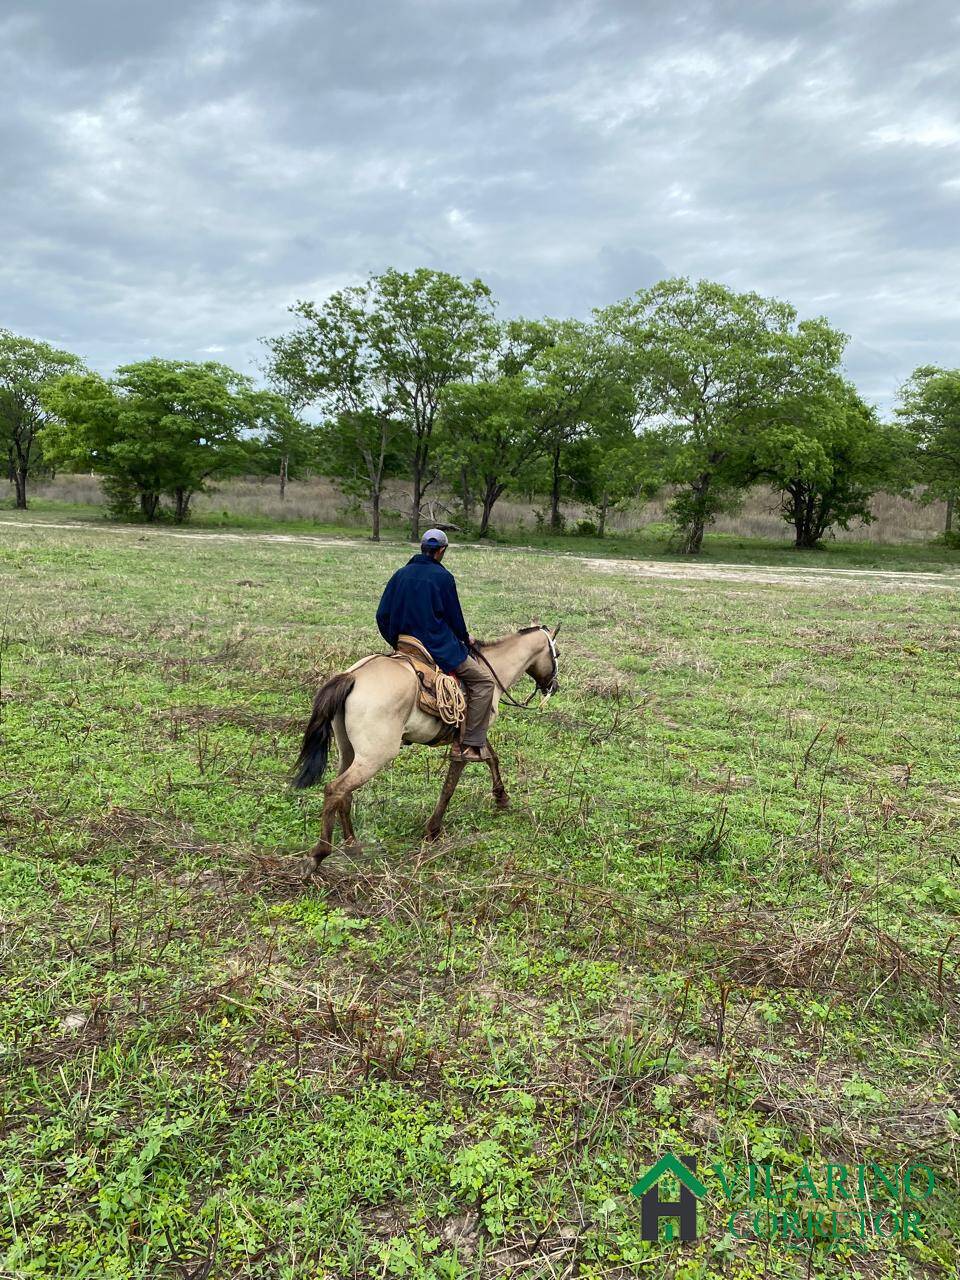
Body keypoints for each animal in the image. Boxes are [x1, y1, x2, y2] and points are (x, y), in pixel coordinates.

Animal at [296, 622, 560, 870]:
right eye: (556, 653)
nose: (554, 687)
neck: (492, 672)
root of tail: (353, 676)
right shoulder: (469, 737)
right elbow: (451, 785)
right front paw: (433, 830)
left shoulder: (476, 733)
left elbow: (492, 759)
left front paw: (501, 797)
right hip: (374, 757)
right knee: (336, 789)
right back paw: (318, 854)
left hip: (348, 751)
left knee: (344, 793)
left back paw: (352, 844)